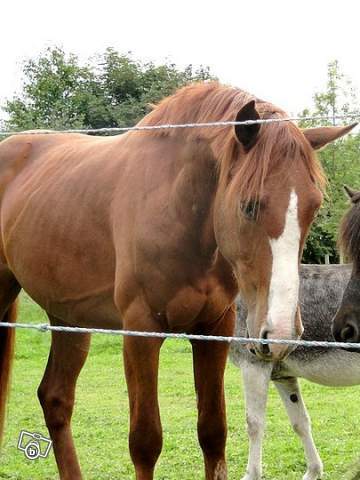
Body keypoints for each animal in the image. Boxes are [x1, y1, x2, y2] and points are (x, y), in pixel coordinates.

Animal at [229, 264, 358, 478]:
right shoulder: (283, 376)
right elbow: (300, 423)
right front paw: (313, 472)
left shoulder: (253, 365)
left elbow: (254, 424)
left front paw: (251, 474)